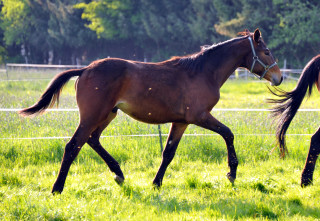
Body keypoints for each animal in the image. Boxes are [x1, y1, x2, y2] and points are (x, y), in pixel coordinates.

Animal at [18, 28, 282, 193]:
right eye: (267, 51)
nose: (278, 77)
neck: (201, 72)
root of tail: (85, 69)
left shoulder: (181, 122)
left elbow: (168, 153)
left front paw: (156, 183)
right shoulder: (199, 117)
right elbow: (228, 133)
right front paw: (232, 173)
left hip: (108, 115)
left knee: (92, 140)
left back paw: (119, 174)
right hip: (93, 116)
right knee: (73, 146)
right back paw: (57, 188)